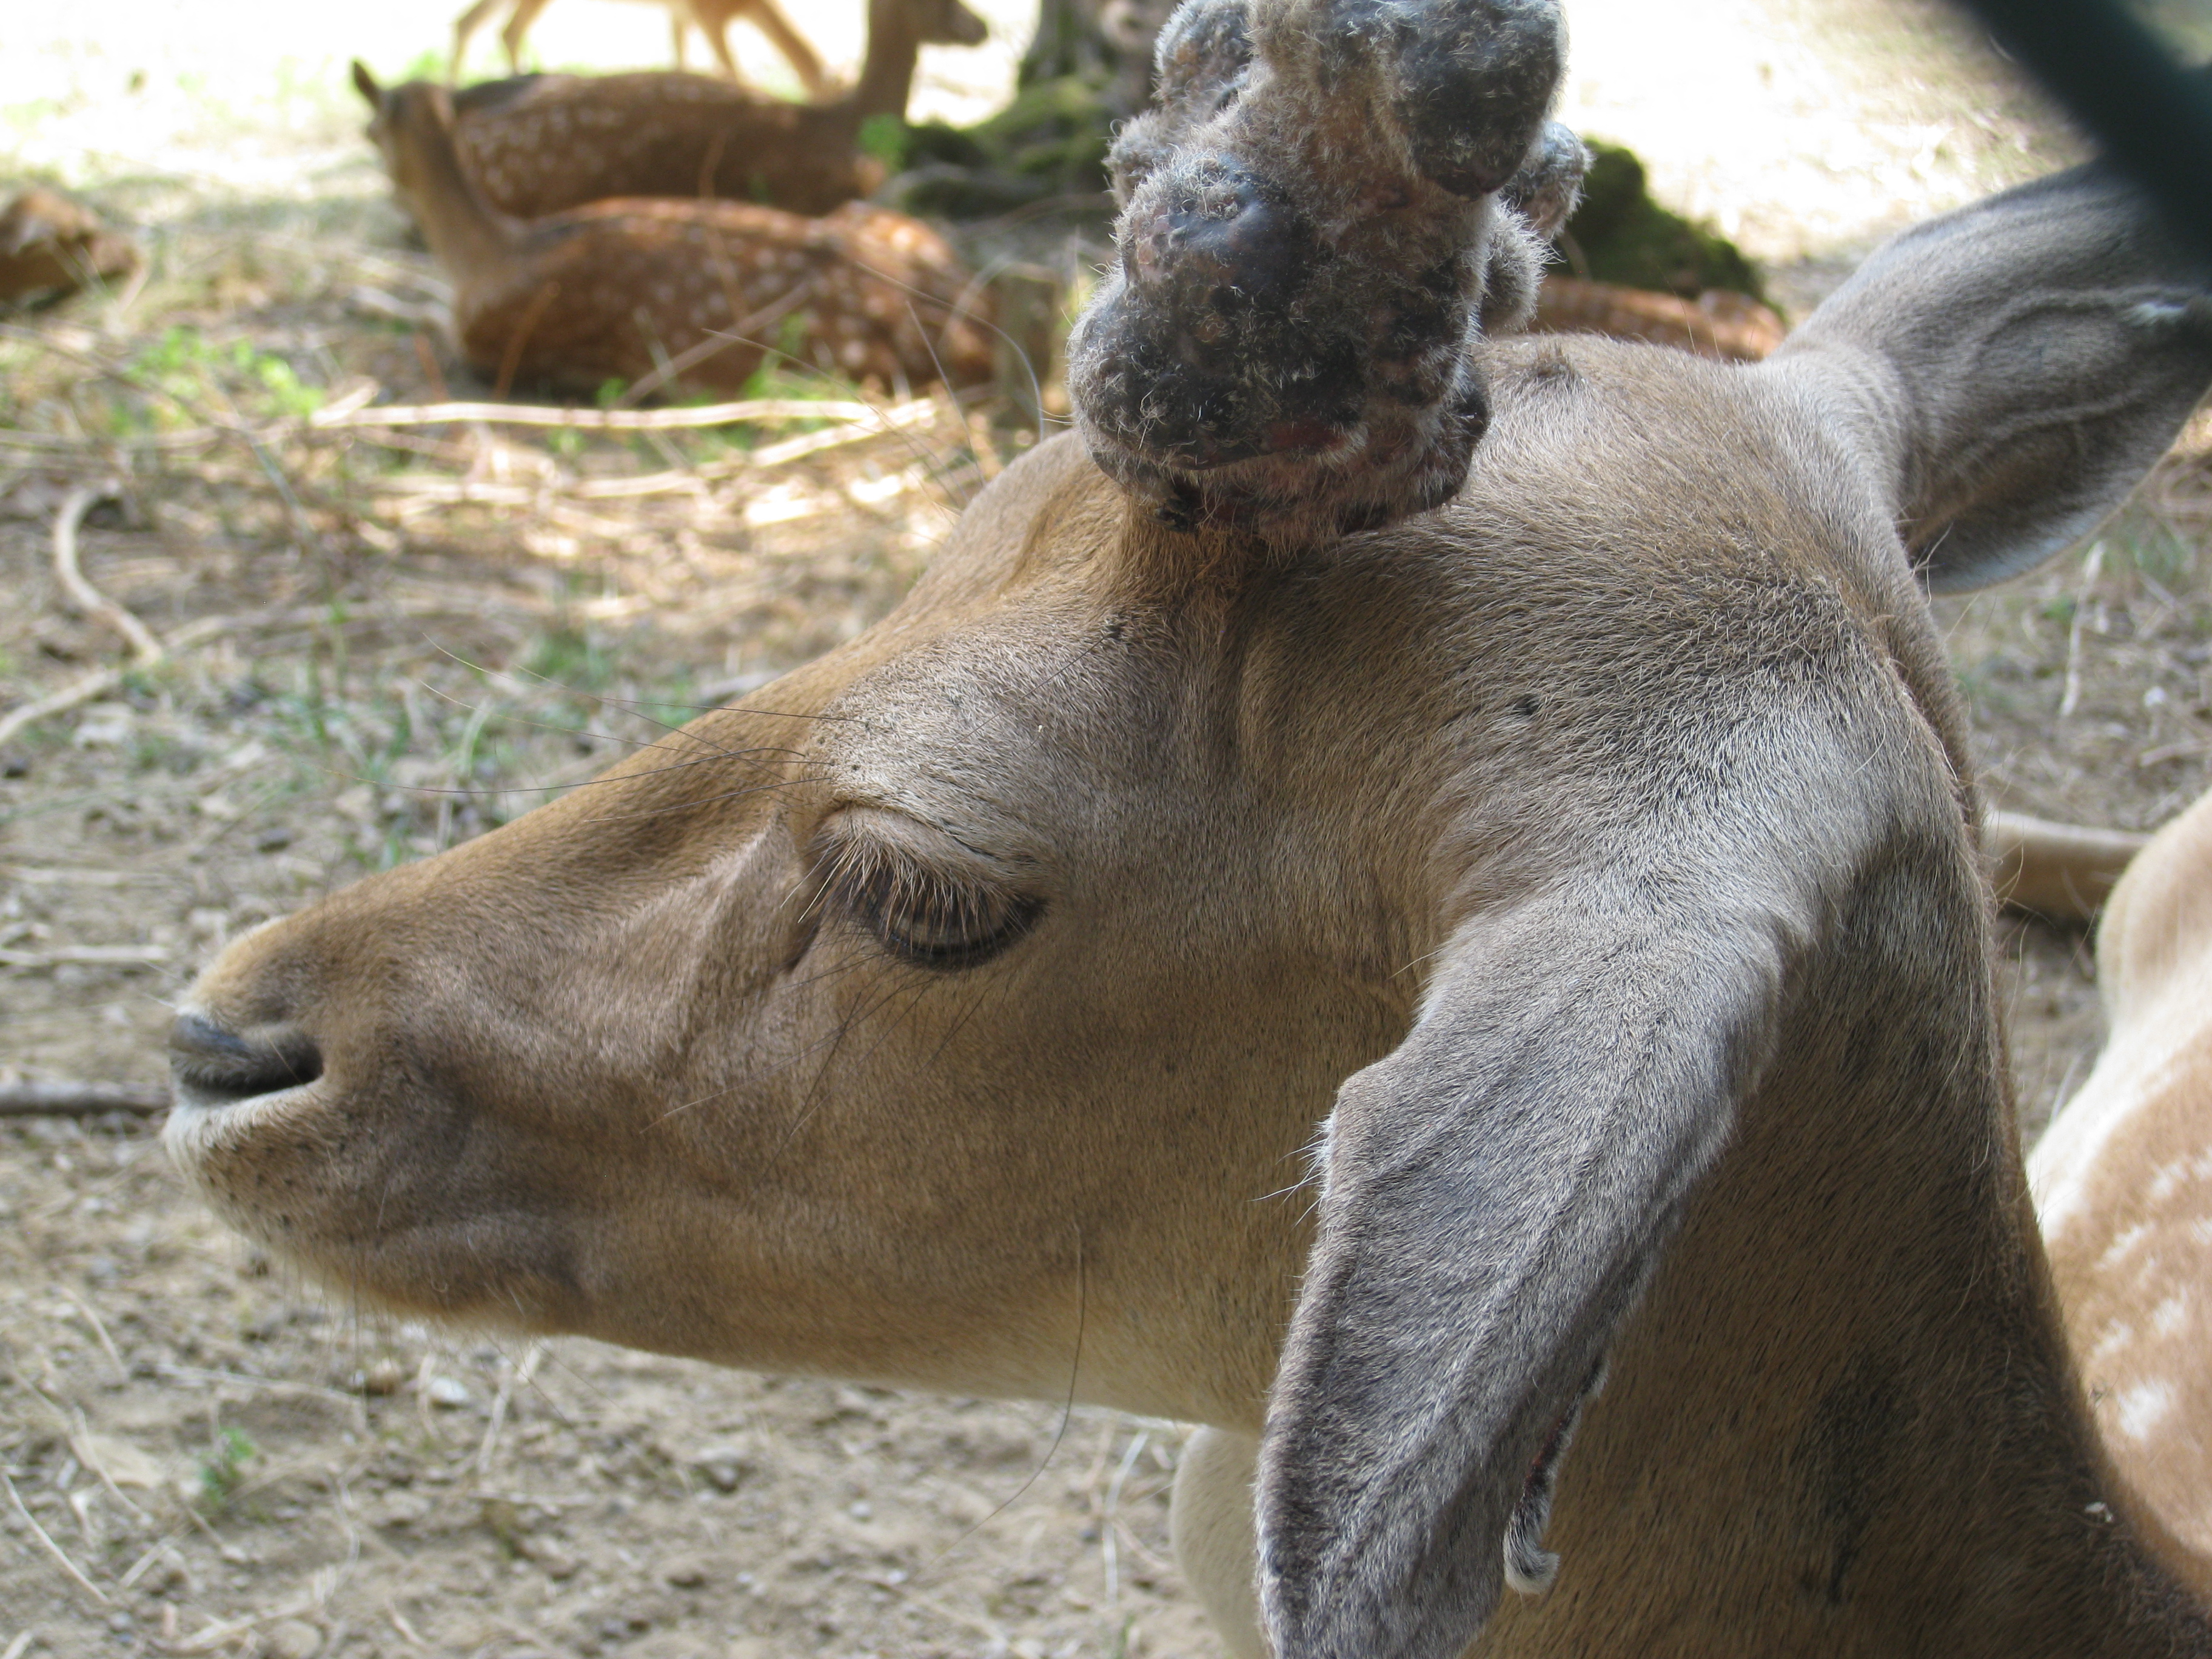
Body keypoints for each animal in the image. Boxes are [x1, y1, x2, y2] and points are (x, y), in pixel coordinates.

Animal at [352, 63, 991, 398]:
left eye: (369, 131)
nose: (392, 199)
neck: (495, 253)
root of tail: (979, 334)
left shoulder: (499, 350)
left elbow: (433, 321)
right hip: (885, 223)